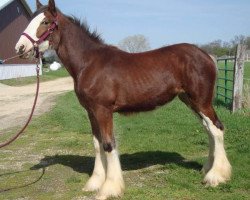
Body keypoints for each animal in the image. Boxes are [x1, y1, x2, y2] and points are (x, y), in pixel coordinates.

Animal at [15, 0, 230, 199]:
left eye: (45, 22)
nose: (20, 48)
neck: (89, 63)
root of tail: (207, 56)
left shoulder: (103, 111)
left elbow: (109, 145)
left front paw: (110, 188)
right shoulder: (91, 112)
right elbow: (97, 144)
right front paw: (94, 182)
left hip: (201, 101)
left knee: (217, 129)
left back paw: (216, 176)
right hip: (190, 101)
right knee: (209, 129)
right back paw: (207, 169)